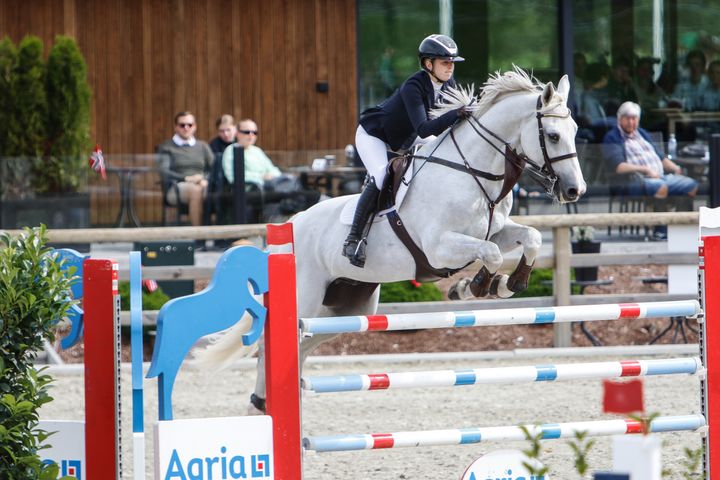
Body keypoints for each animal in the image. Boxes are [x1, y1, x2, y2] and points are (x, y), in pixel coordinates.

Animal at [198, 66, 584, 412]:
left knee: (301, 349)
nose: (574, 191)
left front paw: (508, 283)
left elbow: (530, 238)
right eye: (552, 135)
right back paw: (260, 409)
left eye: (576, 130)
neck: (473, 171)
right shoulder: (440, 248)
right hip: (304, 301)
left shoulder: (496, 231)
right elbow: (489, 253)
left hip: (345, 309)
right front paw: (475, 286)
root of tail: (290, 226)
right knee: (270, 349)